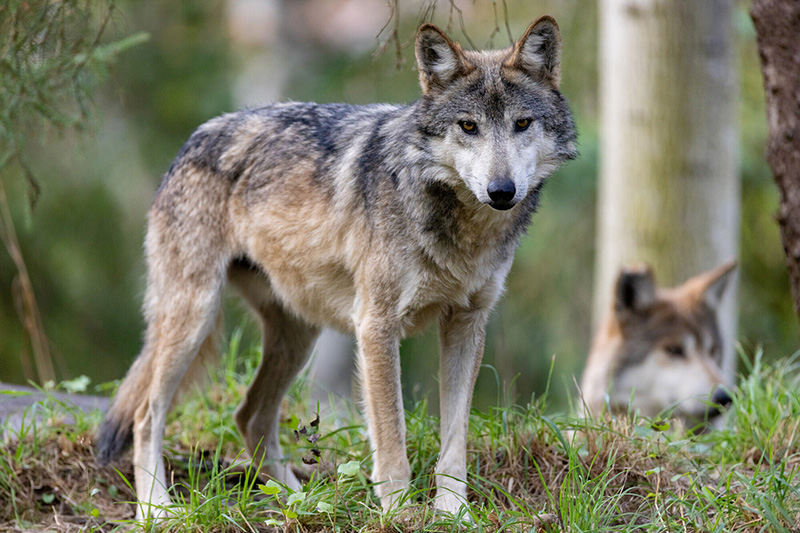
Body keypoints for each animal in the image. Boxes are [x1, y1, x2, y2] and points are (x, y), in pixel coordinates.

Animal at [95, 16, 576, 519]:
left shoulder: (466, 324)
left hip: (299, 334)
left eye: (522, 124)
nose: (501, 190)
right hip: (196, 317)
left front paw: (453, 513)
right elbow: (392, 437)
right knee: (147, 415)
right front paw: (398, 513)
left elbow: (454, 441)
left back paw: (299, 502)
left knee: (249, 416)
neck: (459, 226)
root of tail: (190, 140)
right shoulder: (376, 326)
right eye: (469, 126)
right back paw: (157, 509)